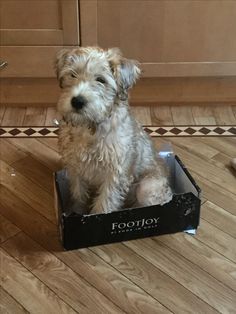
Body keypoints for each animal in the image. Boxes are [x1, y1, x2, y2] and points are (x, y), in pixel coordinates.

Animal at [54, 46, 172, 213]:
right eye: (72, 74)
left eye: (101, 80)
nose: (77, 101)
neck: (90, 127)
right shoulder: (75, 168)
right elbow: (78, 194)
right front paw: (76, 212)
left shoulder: (115, 175)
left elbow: (104, 204)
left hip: (146, 188)